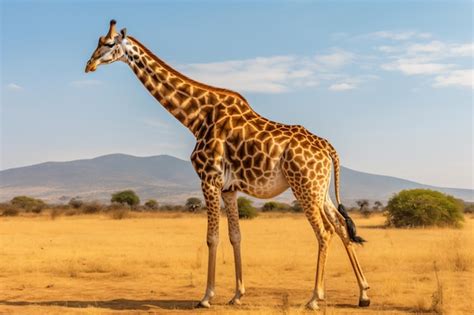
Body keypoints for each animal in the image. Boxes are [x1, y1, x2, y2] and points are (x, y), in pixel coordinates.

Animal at [86, 20, 370, 312]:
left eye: (109, 44)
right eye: (98, 42)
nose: (89, 65)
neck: (196, 118)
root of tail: (328, 148)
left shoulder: (208, 179)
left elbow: (212, 237)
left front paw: (206, 297)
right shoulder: (229, 188)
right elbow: (236, 235)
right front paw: (237, 295)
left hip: (304, 186)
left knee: (324, 232)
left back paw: (314, 298)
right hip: (319, 188)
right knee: (341, 225)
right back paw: (363, 294)